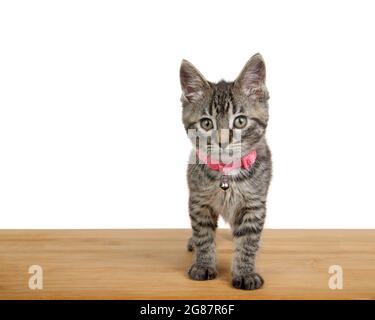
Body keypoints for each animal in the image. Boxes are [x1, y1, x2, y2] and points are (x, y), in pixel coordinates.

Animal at [180, 53, 272, 290]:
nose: (222, 142)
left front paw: (246, 272)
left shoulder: (254, 204)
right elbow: (203, 234)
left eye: (240, 121)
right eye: (206, 123)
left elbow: (248, 241)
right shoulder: (198, 201)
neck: (226, 172)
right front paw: (203, 264)